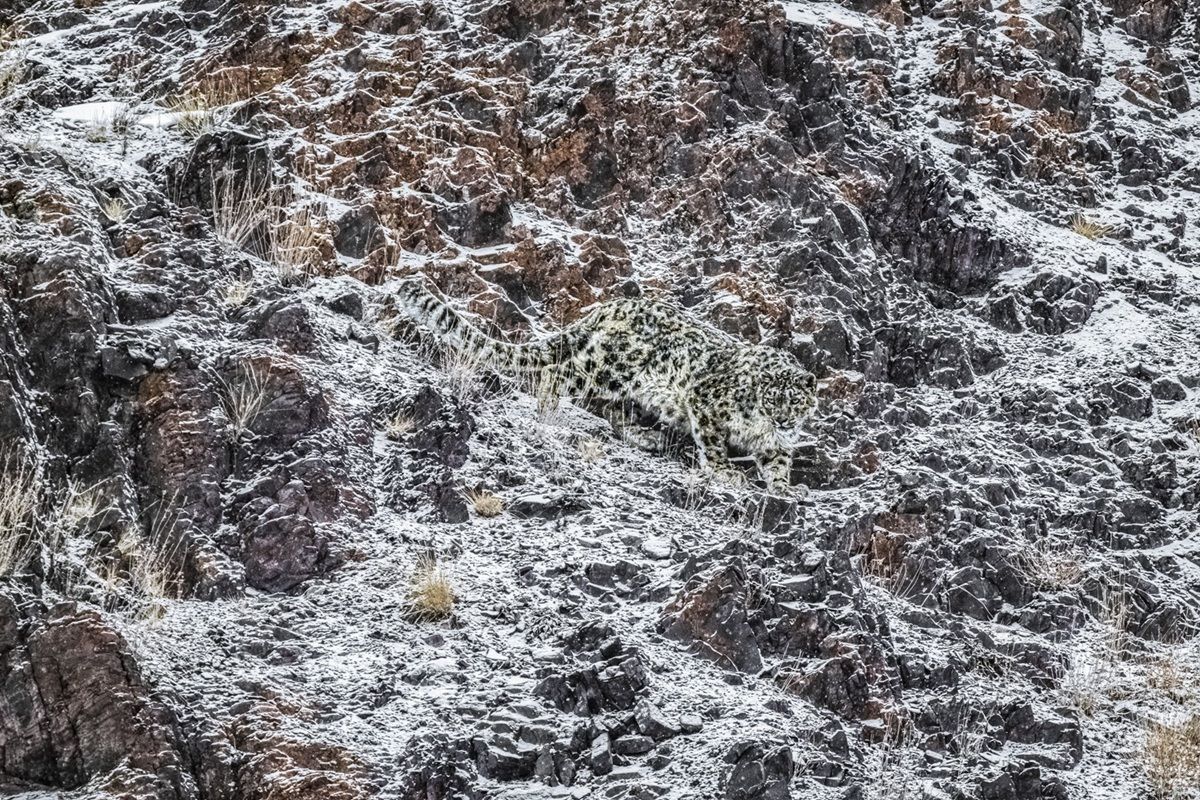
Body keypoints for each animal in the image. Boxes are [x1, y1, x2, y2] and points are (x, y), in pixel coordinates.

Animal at [395, 277, 818, 493]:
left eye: (795, 403)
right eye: (772, 399)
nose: (781, 421)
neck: (761, 427)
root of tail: (610, 306)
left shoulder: (775, 445)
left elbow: (779, 465)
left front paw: (786, 490)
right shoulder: (706, 401)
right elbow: (712, 444)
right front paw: (727, 472)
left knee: (612, 409)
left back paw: (647, 437)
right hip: (612, 366)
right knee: (560, 374)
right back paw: (548, 410)